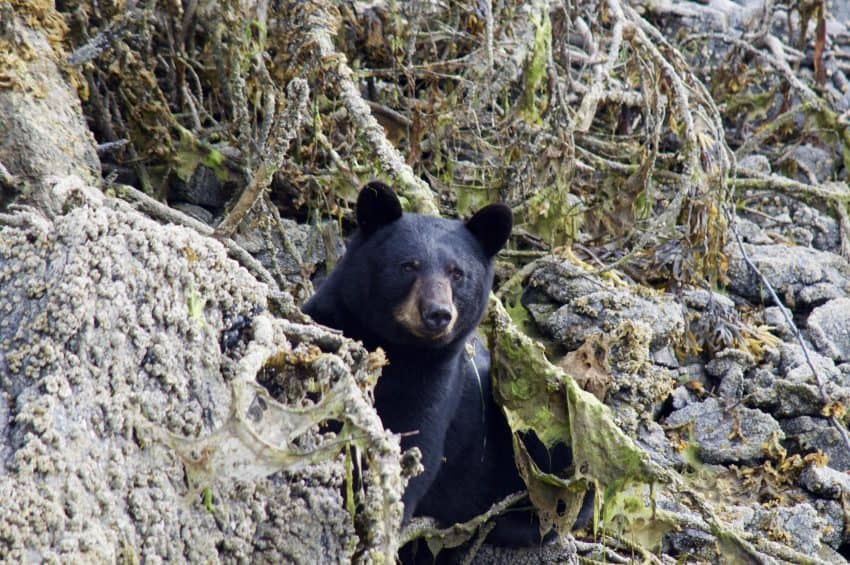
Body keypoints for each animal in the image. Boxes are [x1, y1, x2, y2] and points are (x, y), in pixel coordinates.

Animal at [304, 181, 548, 548]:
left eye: (458, 273)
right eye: (409, 265)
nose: (438, 313)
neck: (399, 350)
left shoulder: (438, 382)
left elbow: (419, 447)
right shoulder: (328, 326)